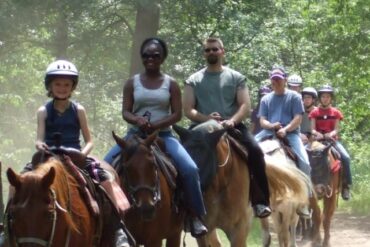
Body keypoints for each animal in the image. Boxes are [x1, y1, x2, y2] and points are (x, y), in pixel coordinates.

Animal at [173, 121, 312, 247]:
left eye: (205, 157)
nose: (183, 197)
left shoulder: (239, 229)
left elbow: (284, 233)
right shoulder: (204, 231)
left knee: (289, 229)